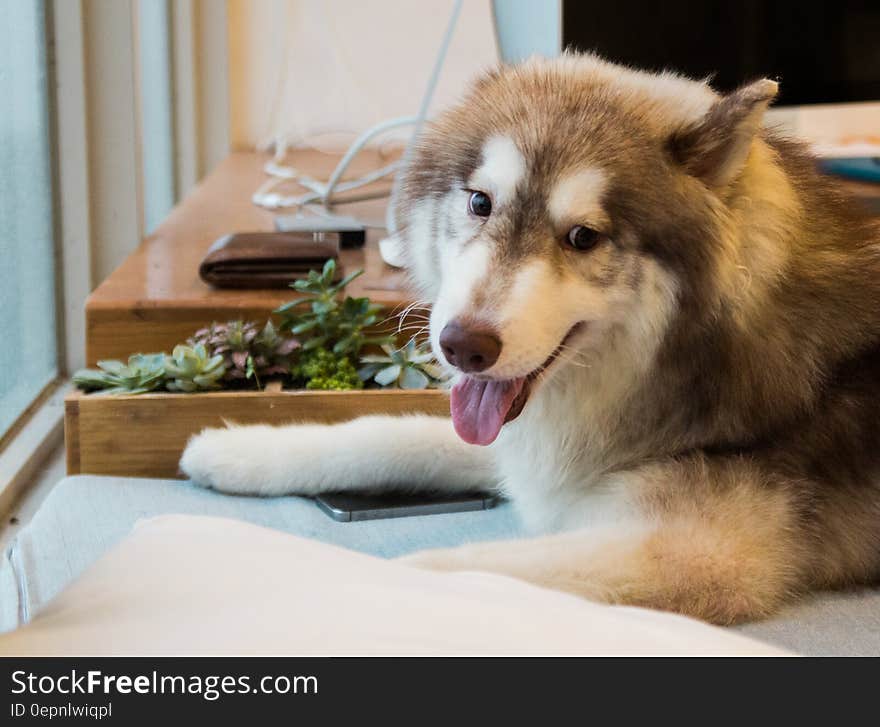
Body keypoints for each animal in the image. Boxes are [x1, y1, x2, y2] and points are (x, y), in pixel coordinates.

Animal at [179, 55, 880, 624]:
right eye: (480, 203)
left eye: (584, 237)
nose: (462, 346)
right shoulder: (539, 450)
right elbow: (378, 432)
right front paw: (238, 450)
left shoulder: (699, 554)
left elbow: (440, 571)